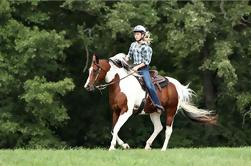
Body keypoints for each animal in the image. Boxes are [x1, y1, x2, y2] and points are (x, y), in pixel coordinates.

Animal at [83, 52, 217, 150]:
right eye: (89, 70)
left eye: (95, 70)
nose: (87, 86)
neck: (120, 85)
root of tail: (177, 85)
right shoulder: (115, 111)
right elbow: (113, 129)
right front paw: (124, 145)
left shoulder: (126, 111)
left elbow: (116, 128)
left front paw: (112, 147)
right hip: (154, 112)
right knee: (158, 127)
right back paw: (147, 146)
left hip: (171, 111)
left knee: (168, 130)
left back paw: (163, 149)